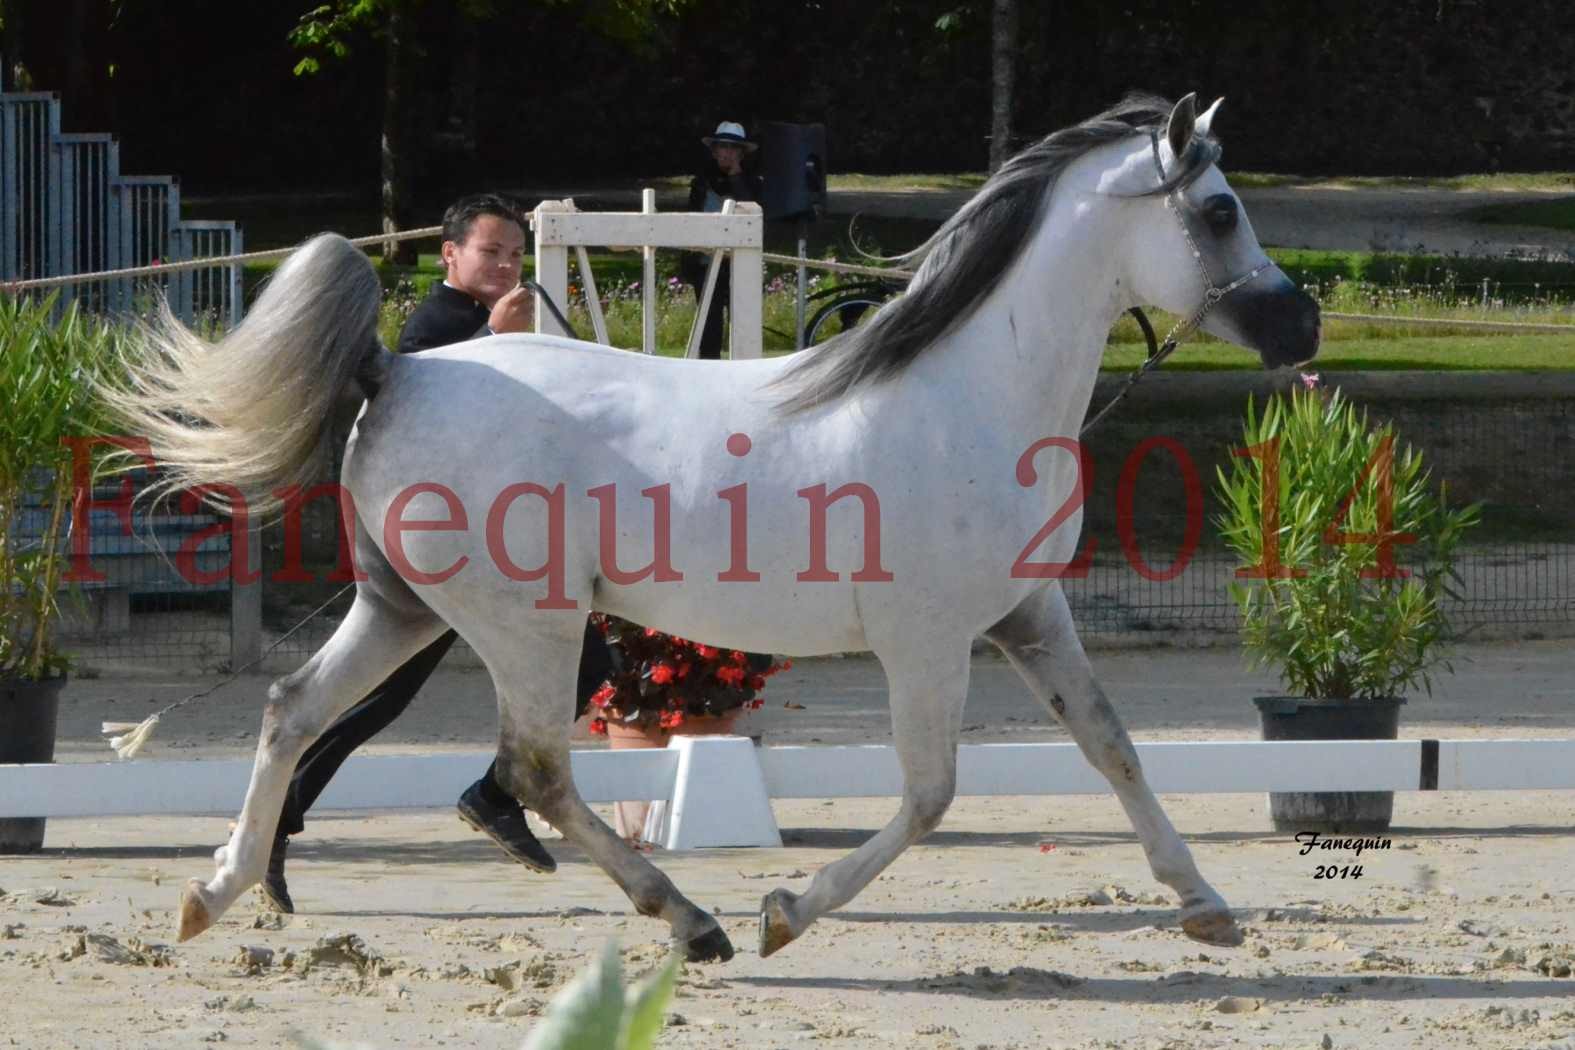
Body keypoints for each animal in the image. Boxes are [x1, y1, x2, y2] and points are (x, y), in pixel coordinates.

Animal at [107, 94, 1316, 963]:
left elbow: (1111, 744)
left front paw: (1205, 904)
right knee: (532, 770)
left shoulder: (1027, 612)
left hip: (405, 609)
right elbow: (930, 795)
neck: (970, 392)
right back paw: (694, 923)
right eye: (1217, 211)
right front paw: (787, 911)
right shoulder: (927, 642)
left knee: (295, 709)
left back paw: (218, 893)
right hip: (526, 625)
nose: (1300, 322)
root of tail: (397, 367)